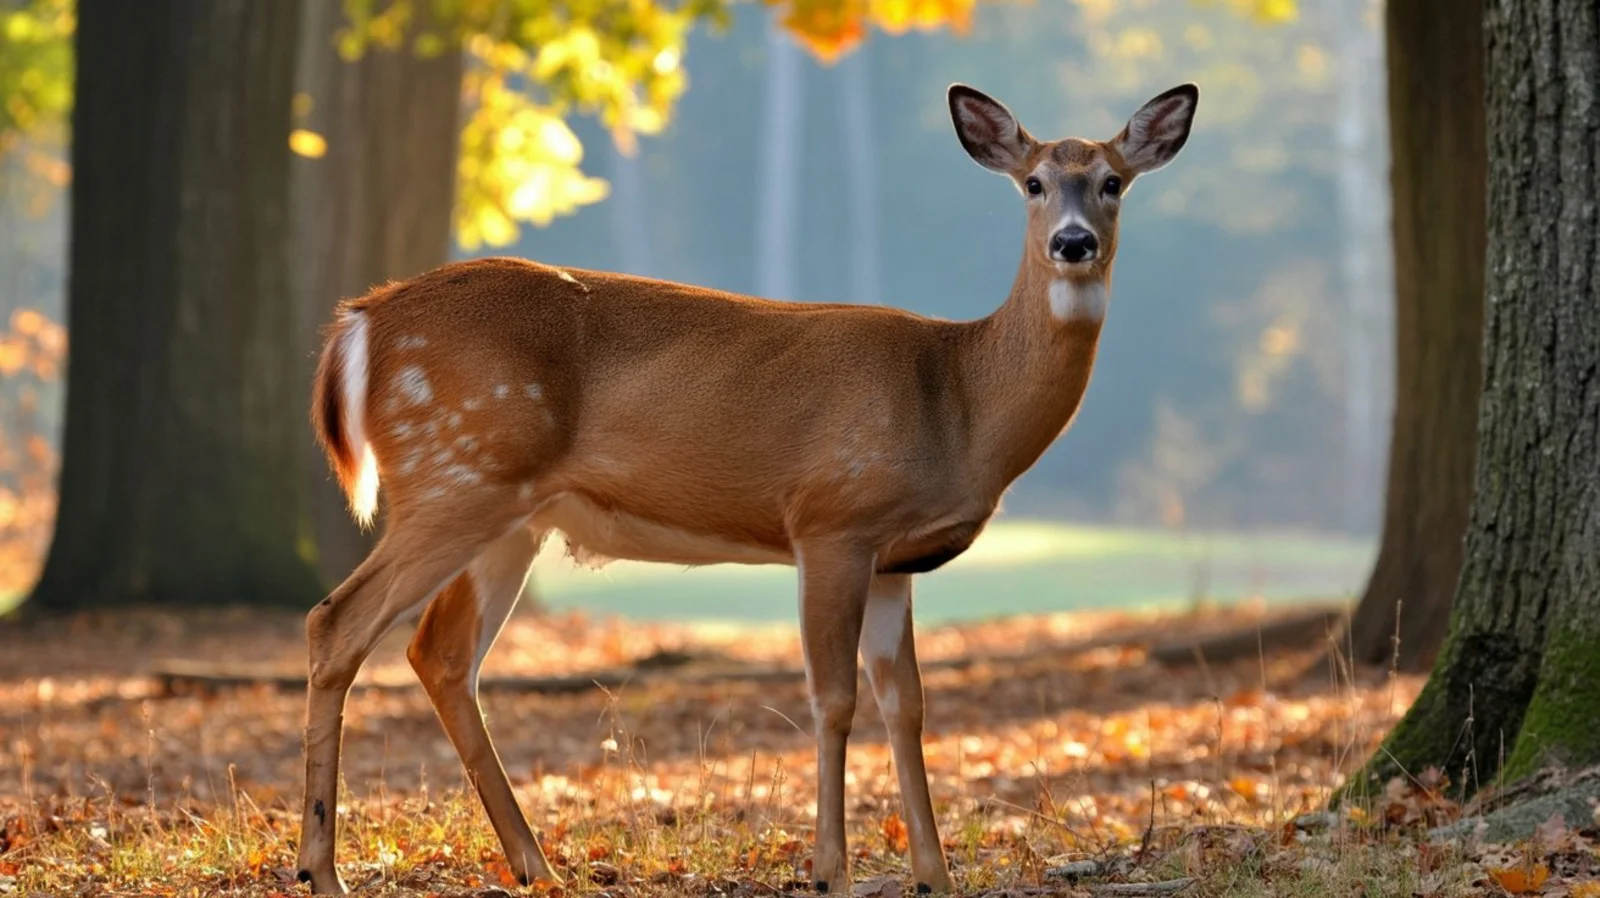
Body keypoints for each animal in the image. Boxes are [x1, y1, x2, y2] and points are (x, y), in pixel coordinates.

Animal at [294, 81, 1199, 895]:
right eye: (1034, 182)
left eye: (1114, 181)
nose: (1074, 244)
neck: (958, 402)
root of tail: (360, 322)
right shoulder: (831, 519)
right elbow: (833, 697)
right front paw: (830, 871)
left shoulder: (897, 561)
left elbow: (905, 704)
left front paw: (935, 876)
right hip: (458, 472)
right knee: (338, 621)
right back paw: (322, 871)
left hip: (508, 513)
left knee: (440, 653)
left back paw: (536, 866)